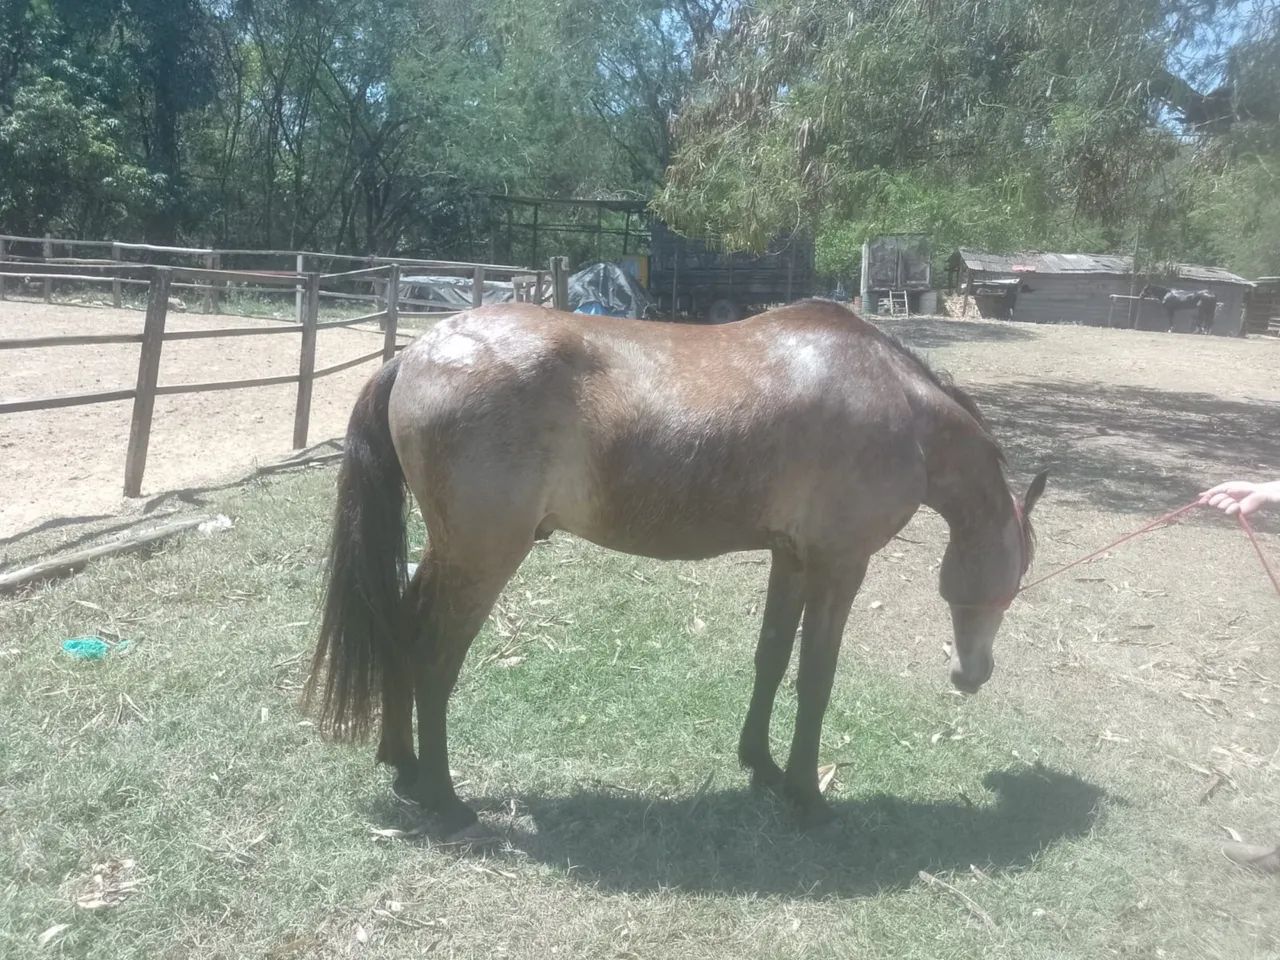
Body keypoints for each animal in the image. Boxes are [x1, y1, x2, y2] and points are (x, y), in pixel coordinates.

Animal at [306, 299, 1048, 834]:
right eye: (1013, 587)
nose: (974, 673)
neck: (897, 405)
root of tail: (415, 355)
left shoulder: (792, 557)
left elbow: (772, 657)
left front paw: (762, 767)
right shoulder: (840, 565)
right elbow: (815, 679)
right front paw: (807, 796)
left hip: (451, 554)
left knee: (400, 631)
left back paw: (403, 765)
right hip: (482, 559)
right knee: (434, 656)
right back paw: (443, 796)